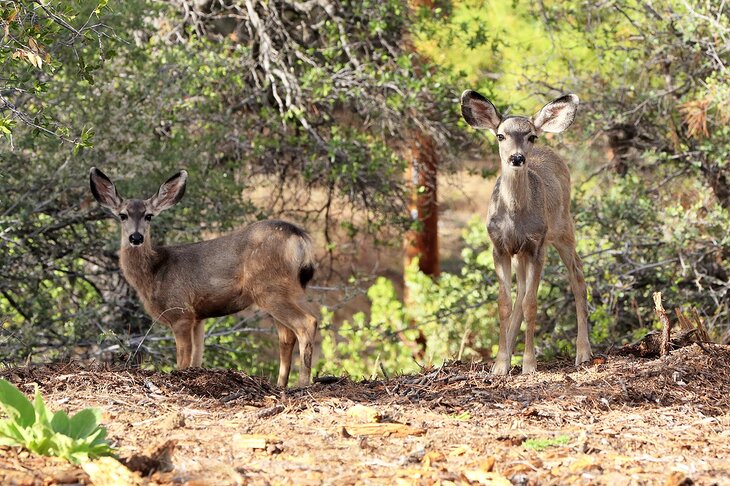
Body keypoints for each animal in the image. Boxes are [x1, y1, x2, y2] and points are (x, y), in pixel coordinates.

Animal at [89, 168, 318, 388]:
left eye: (148, 216)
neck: (154, 273)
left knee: (307, 323)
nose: (136, 237)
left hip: (269, 287)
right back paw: (281, 385)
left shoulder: (180, 311)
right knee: (287, 336)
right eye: (122, 215)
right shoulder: (198, 316)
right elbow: (197, 357)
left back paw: (302, 383)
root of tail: (300, 238)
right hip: (287, 291)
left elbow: (183, 358)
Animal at [460, 90, 592, 376]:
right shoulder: (499, 247)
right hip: (522, 252)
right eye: (500, 135)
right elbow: (505, 303)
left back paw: (583, 352)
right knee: (520, 292)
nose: (517, 158)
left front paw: (530, 364)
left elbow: (532, 304)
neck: (515, 219)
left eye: (531, 136)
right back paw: (509, 353)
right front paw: (500, 364)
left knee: (577, 276)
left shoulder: (536, 246)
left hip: (563, 228)